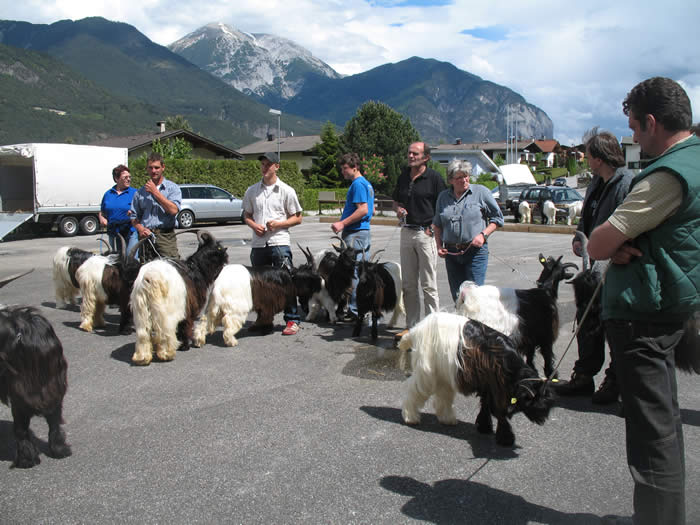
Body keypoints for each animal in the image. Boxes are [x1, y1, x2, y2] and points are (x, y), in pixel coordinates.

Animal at [130, 229, 228, 364]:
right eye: (219, 249)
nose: (226, 261)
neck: (195, 268)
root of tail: (149, 278)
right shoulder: (188, 308)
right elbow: (185, 325)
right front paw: (185, 346)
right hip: (165, 312)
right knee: (165, 332)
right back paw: (167, 354)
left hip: (141, 310)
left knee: (143, 334)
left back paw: (142, 358)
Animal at [396, 312, 556, 446]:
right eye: (532, 398)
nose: (543, 416)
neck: (507, 361)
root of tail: (416, 330)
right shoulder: (497, 387)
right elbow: (499, 411)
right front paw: (505, 438)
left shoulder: (488, 384)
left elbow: (486, 404)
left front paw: (484, 426)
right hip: (427, 369)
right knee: (415, 389)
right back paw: (410, 416)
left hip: (444, 371)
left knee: (443, 395)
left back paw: (447, 419)